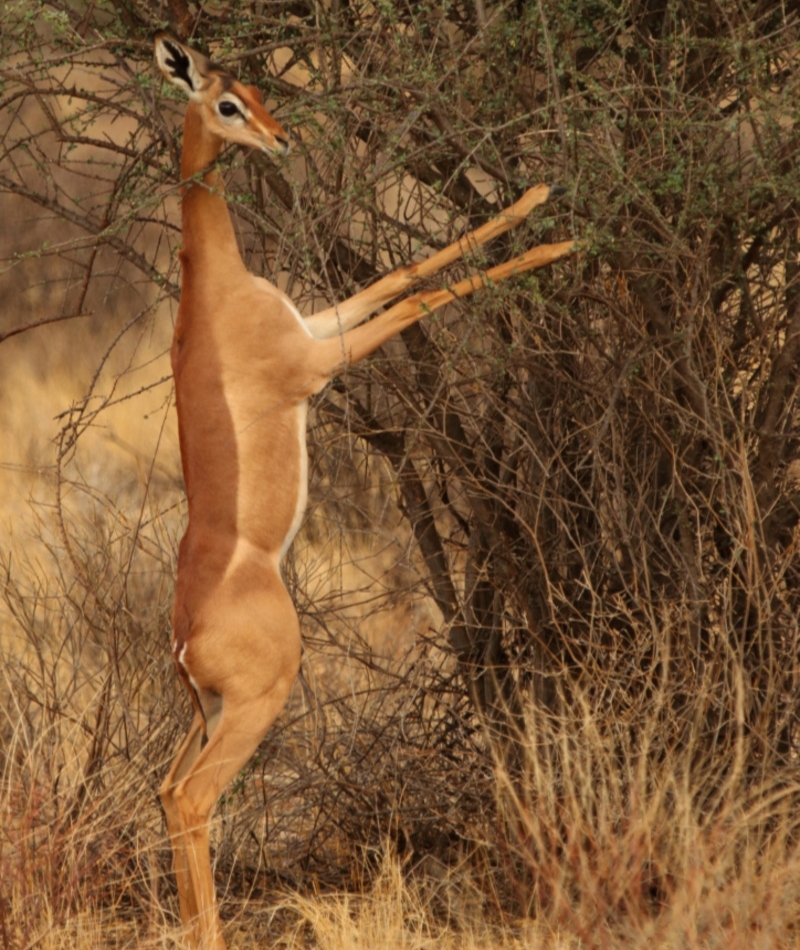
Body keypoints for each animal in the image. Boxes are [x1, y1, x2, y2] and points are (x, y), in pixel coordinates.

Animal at [152, 31, 576, 950]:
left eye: (255, 86)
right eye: (224, 102)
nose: (279, 139)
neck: (214, 290)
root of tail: (186, 635)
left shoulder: (320, 323)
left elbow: (407, 268)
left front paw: (537, 195)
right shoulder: (319, 358)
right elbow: (425, 294)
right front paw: (555, 244)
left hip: (205, 711)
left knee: (165, 791)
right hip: (257, 703)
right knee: (193, 800)